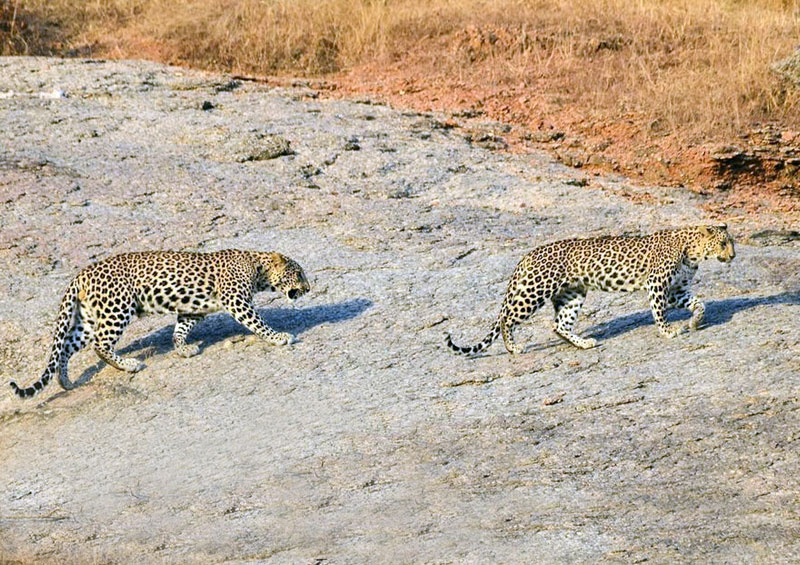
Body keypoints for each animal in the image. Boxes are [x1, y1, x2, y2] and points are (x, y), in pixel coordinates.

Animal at [13, 249, 312, 398]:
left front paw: (182, 348)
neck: (258, 268)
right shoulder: (236, 299)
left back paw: (65, 381)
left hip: (87, 318)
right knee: (100, 344)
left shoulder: (193, 310)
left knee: (65, 349)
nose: (308, 288)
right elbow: (257, 322)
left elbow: (181, 329)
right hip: (117, 308)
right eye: (297, 273)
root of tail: (80, 275)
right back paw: (129, 365)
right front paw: (279, 337)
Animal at [446, 223, 736, 354]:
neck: (693, 252)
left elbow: (699, 303)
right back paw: (513, 348)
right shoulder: (657, 284)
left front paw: (695, 322)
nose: (733, 256)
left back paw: (584, 343)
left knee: (558, 325)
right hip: (535, 290)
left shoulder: (677, 290)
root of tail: (528, 255)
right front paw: (668, 331)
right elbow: (659, 312)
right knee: (508, 317)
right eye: (723, 244)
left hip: (572, 295)